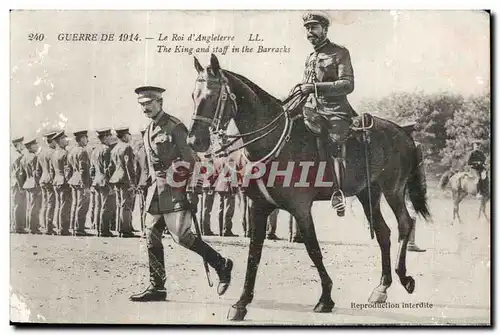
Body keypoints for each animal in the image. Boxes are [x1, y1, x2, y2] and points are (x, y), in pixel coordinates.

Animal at [187, 53, 430, 322]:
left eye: (212, 96)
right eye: (194, 95)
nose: (194, 141)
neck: (273, 142)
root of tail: (404, 133)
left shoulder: (300, 208)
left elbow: (313, 249)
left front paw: (326, 298)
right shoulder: (258, 207)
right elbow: (254, 254)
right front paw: (241, 303)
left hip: (393, 191)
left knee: (405, 224)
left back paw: (404, 277)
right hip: (368, 194)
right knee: (383, 233)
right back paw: (382, 287)